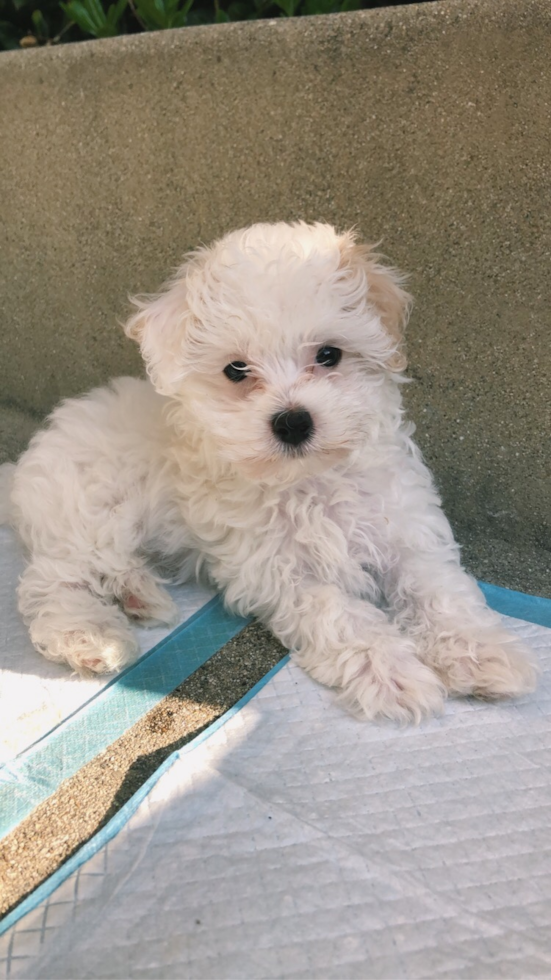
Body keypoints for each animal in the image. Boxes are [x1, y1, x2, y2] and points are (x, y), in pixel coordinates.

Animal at [3, 226, 540, 724]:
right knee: (53, 582)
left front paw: (482, 653)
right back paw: (90, 637)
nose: (293, 421)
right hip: (90, 513)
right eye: (236, 370)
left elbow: (440, 590)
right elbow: (342, 617)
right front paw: (391, 674)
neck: (310, 479)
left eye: (329, 355)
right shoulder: (275, 572)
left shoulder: (407, 530)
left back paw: (139, 597)